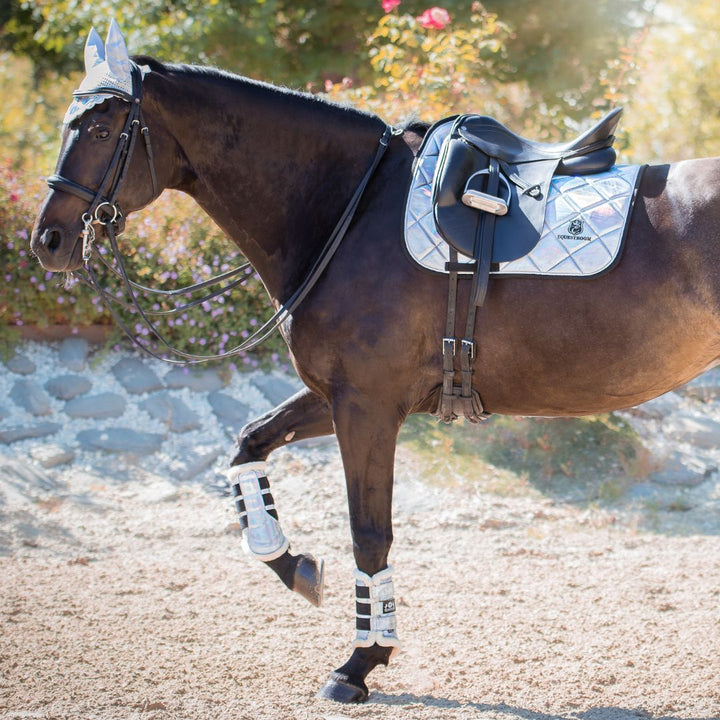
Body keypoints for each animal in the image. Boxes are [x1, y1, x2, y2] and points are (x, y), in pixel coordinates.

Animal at [31, 23, 720, 704]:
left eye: (101, 130)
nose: (48, 240)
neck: (349, 210)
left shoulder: (366, 406)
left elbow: (369, 532)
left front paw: (361, 661)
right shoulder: (341, 395)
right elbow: (249, 444)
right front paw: (293, 565)